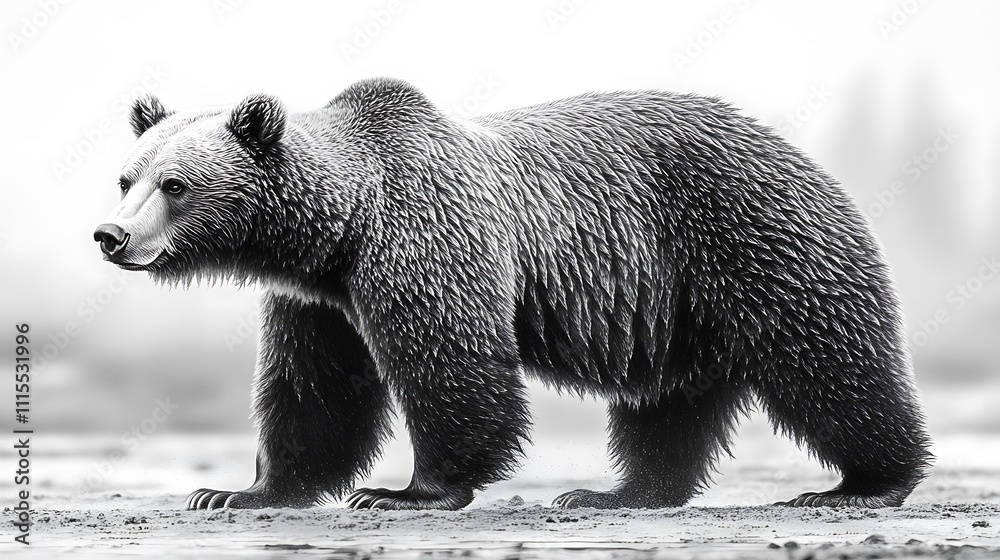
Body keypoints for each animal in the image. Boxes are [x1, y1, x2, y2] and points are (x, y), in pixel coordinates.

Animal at [94, 77, 932, 511]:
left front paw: (407, 492)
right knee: (667, 403)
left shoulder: (424, 239)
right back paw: (617, 494)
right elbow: (314, 393)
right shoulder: (318, 304)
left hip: (751, 240)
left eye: (177, 184)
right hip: (675, 303)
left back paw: (863, 484)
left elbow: (450, 365)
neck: (341, 229)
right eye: (128, 176)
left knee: (829, 362)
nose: (110, 235)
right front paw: (237, 491)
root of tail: (796, 149)